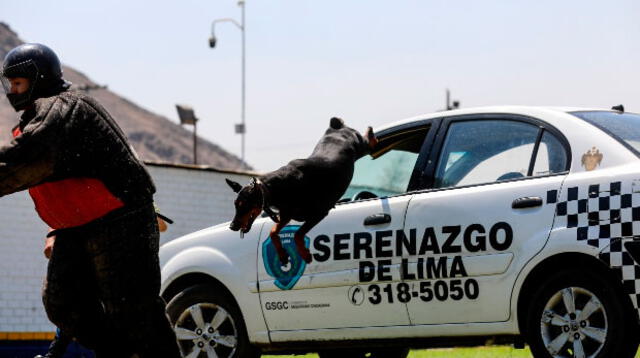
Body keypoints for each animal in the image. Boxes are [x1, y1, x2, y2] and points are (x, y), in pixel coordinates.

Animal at [226, 116, 376, 264]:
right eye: (235, 205)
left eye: (244, 205)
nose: (232, 226)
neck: (277, 188)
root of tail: (337, 127)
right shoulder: (286, 215)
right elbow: (273, 232)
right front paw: (282, 255)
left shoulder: (319, 213)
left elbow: (298, 234)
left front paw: (305, 254)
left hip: (358, 145)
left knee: (368, 142)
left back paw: (371, 134)